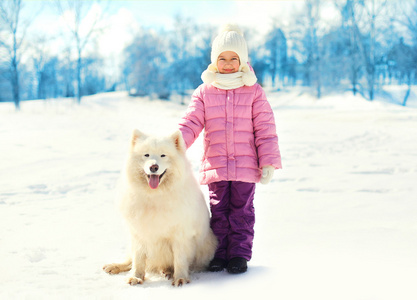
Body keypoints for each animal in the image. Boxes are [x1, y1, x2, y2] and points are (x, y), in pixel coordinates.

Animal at [102, 129, 216, 286]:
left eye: (163, 155)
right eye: (146, 155)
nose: (153, 167)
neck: (155, 195)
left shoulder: (180, 235)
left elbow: (180, 259)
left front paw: (180, 278)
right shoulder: (139, 233)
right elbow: (138, 260)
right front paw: (136, 277)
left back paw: (168, 272)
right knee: (129, 260)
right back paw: (114, 266)